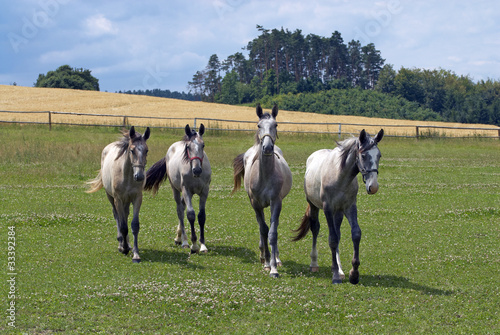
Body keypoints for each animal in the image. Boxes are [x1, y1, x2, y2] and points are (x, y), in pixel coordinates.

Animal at [86, 126, 150, 262]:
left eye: (146, 150)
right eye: (132, 150)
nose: (140, 176)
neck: (127, 176)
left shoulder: (137, 198)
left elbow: (134, 225)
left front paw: (136, 254)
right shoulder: (118, 199)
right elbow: (123, 226)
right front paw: (124, 248)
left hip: (126, 200)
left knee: (125, 215)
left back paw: (128, 244)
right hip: (111, 197)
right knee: (117, 217)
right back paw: (121, 243)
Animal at [144, 125, 210, 255]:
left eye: (203, 145)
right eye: (188, 147)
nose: (197, 170)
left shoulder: (204, 191)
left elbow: (201, 216)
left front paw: (203, 245)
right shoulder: (186, 190)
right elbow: (190, 215)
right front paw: (194, 246)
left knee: (182, 208)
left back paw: (178, 238)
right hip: (176, 189)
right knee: (180, 210)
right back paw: (184, 241)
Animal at [231, 105, 292, 278]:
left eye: (276, 124)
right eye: (259, 125)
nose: (267, 147)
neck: (264, 175)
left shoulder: (276, 202)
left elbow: (272, 232)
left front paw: (274, 267)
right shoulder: (256, 203)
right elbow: (263, 230)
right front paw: (266, 263)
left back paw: (275, 258)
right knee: (261, 226)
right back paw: (262, 254)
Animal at [292, 130, 384, 284]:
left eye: (379, 155)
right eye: (363, 155)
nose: (374, 187)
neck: (340, 177)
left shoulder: (349, 207)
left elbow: (355, 234)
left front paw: (354, 274)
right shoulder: (328, 209)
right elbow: (332, 239)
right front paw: (335, 275)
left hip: (338, 213)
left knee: (338, 233)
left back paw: (340, 270)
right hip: (314, 206)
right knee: (315, 229)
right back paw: (314, 264)